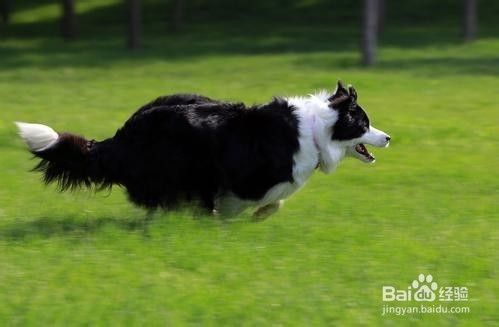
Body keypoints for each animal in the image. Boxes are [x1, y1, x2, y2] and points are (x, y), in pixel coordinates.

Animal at [15, 80, 390, 218]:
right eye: (364, 123)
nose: (388, 137)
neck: (316, 129)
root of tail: (123, 135)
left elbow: (276, 202)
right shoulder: (249, 177)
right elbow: (265, 200)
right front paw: (239, 218)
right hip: (187, 167)